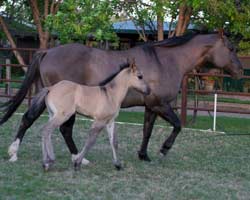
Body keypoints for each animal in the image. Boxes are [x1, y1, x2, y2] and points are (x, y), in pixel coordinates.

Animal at [2, 32, 242, 162]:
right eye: (230, 48)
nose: (240, 71)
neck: (166, 61)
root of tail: (48, 52)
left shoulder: (151, 106)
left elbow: (147, 131)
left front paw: (144, 155)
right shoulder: (160, 104)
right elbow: (177, 125)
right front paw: (164, 149)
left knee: (38, 122)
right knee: (52, 126)